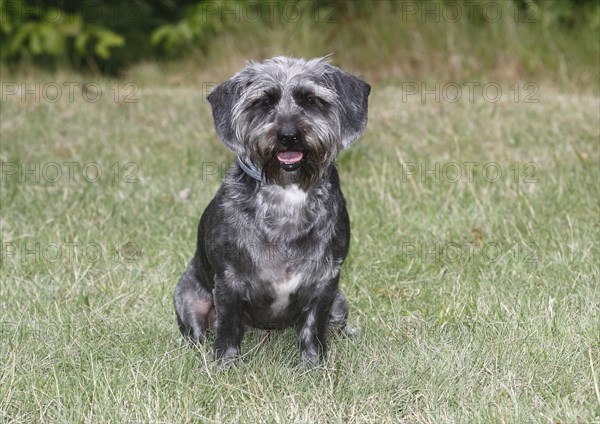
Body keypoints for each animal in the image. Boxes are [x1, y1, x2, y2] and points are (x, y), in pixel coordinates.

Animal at [175, 55, 370, 368]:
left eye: (311, 100)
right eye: (264, 102)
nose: (289, 136)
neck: (286, 192)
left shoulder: (326, 283)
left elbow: (313, 328)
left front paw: (313, 366)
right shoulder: (228, 283)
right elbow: (228, 328)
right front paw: (226, 366)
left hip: (340, 304)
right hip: (188, 300)